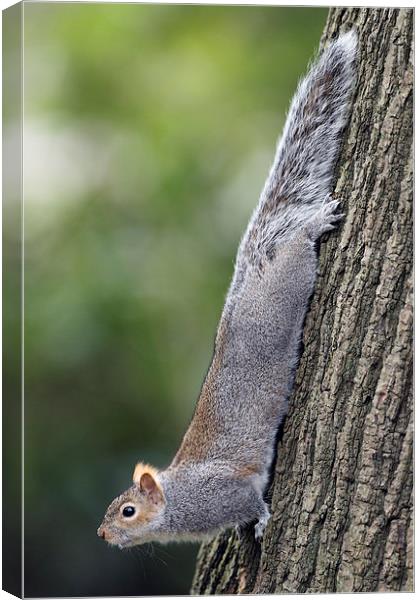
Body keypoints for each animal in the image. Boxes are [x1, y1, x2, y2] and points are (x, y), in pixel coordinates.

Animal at [97, 31, 356, 548]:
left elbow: (252, 502)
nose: (101, 533)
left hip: (285, 289)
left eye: (128, 511)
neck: (177, 503)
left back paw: (313, 224)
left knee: (296, 251)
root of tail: (248, 281)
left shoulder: (226, 494)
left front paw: (262, 521)